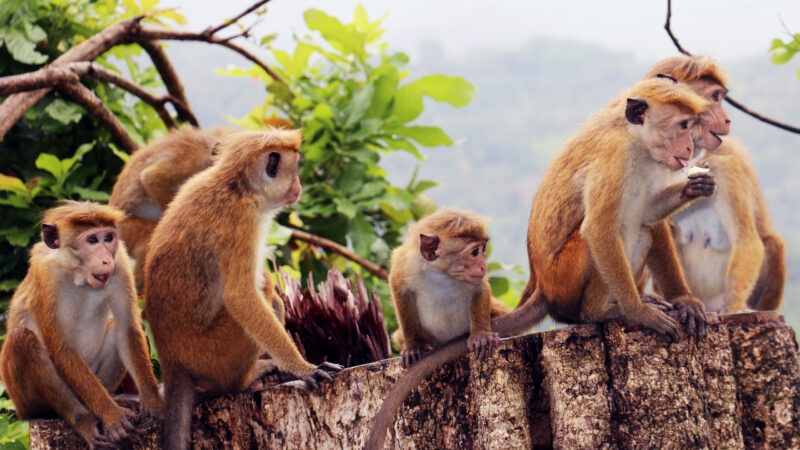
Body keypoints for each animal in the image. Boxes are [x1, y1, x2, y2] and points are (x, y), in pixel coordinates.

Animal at [0, 201, 163, 449]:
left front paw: (153, 404)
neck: (78, 276)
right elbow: (61, 349)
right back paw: (83, 418)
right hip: (25, 402)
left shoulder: (120, 261)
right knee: (22, 339)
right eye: (92, 240)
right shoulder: (44, 275)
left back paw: (115, 399)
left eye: (108, 238)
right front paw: (111, 416)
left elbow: (127, 330)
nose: (106, 260)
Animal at [143, 128, 341, 450]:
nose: (298, 187)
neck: (238, 186)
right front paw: (304, 369)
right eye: (294, 169)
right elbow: (241, 298)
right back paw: (245, 381)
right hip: (214, 353)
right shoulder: (241, 221)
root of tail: (172, 362)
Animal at [389, 208, 510, 368]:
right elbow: (399, 287)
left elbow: (480, 287)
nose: (484, 267)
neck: (441, 273)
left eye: (483, 249)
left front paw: (481, 335)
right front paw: (414, 346)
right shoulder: (404, 262)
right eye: (474, 252)